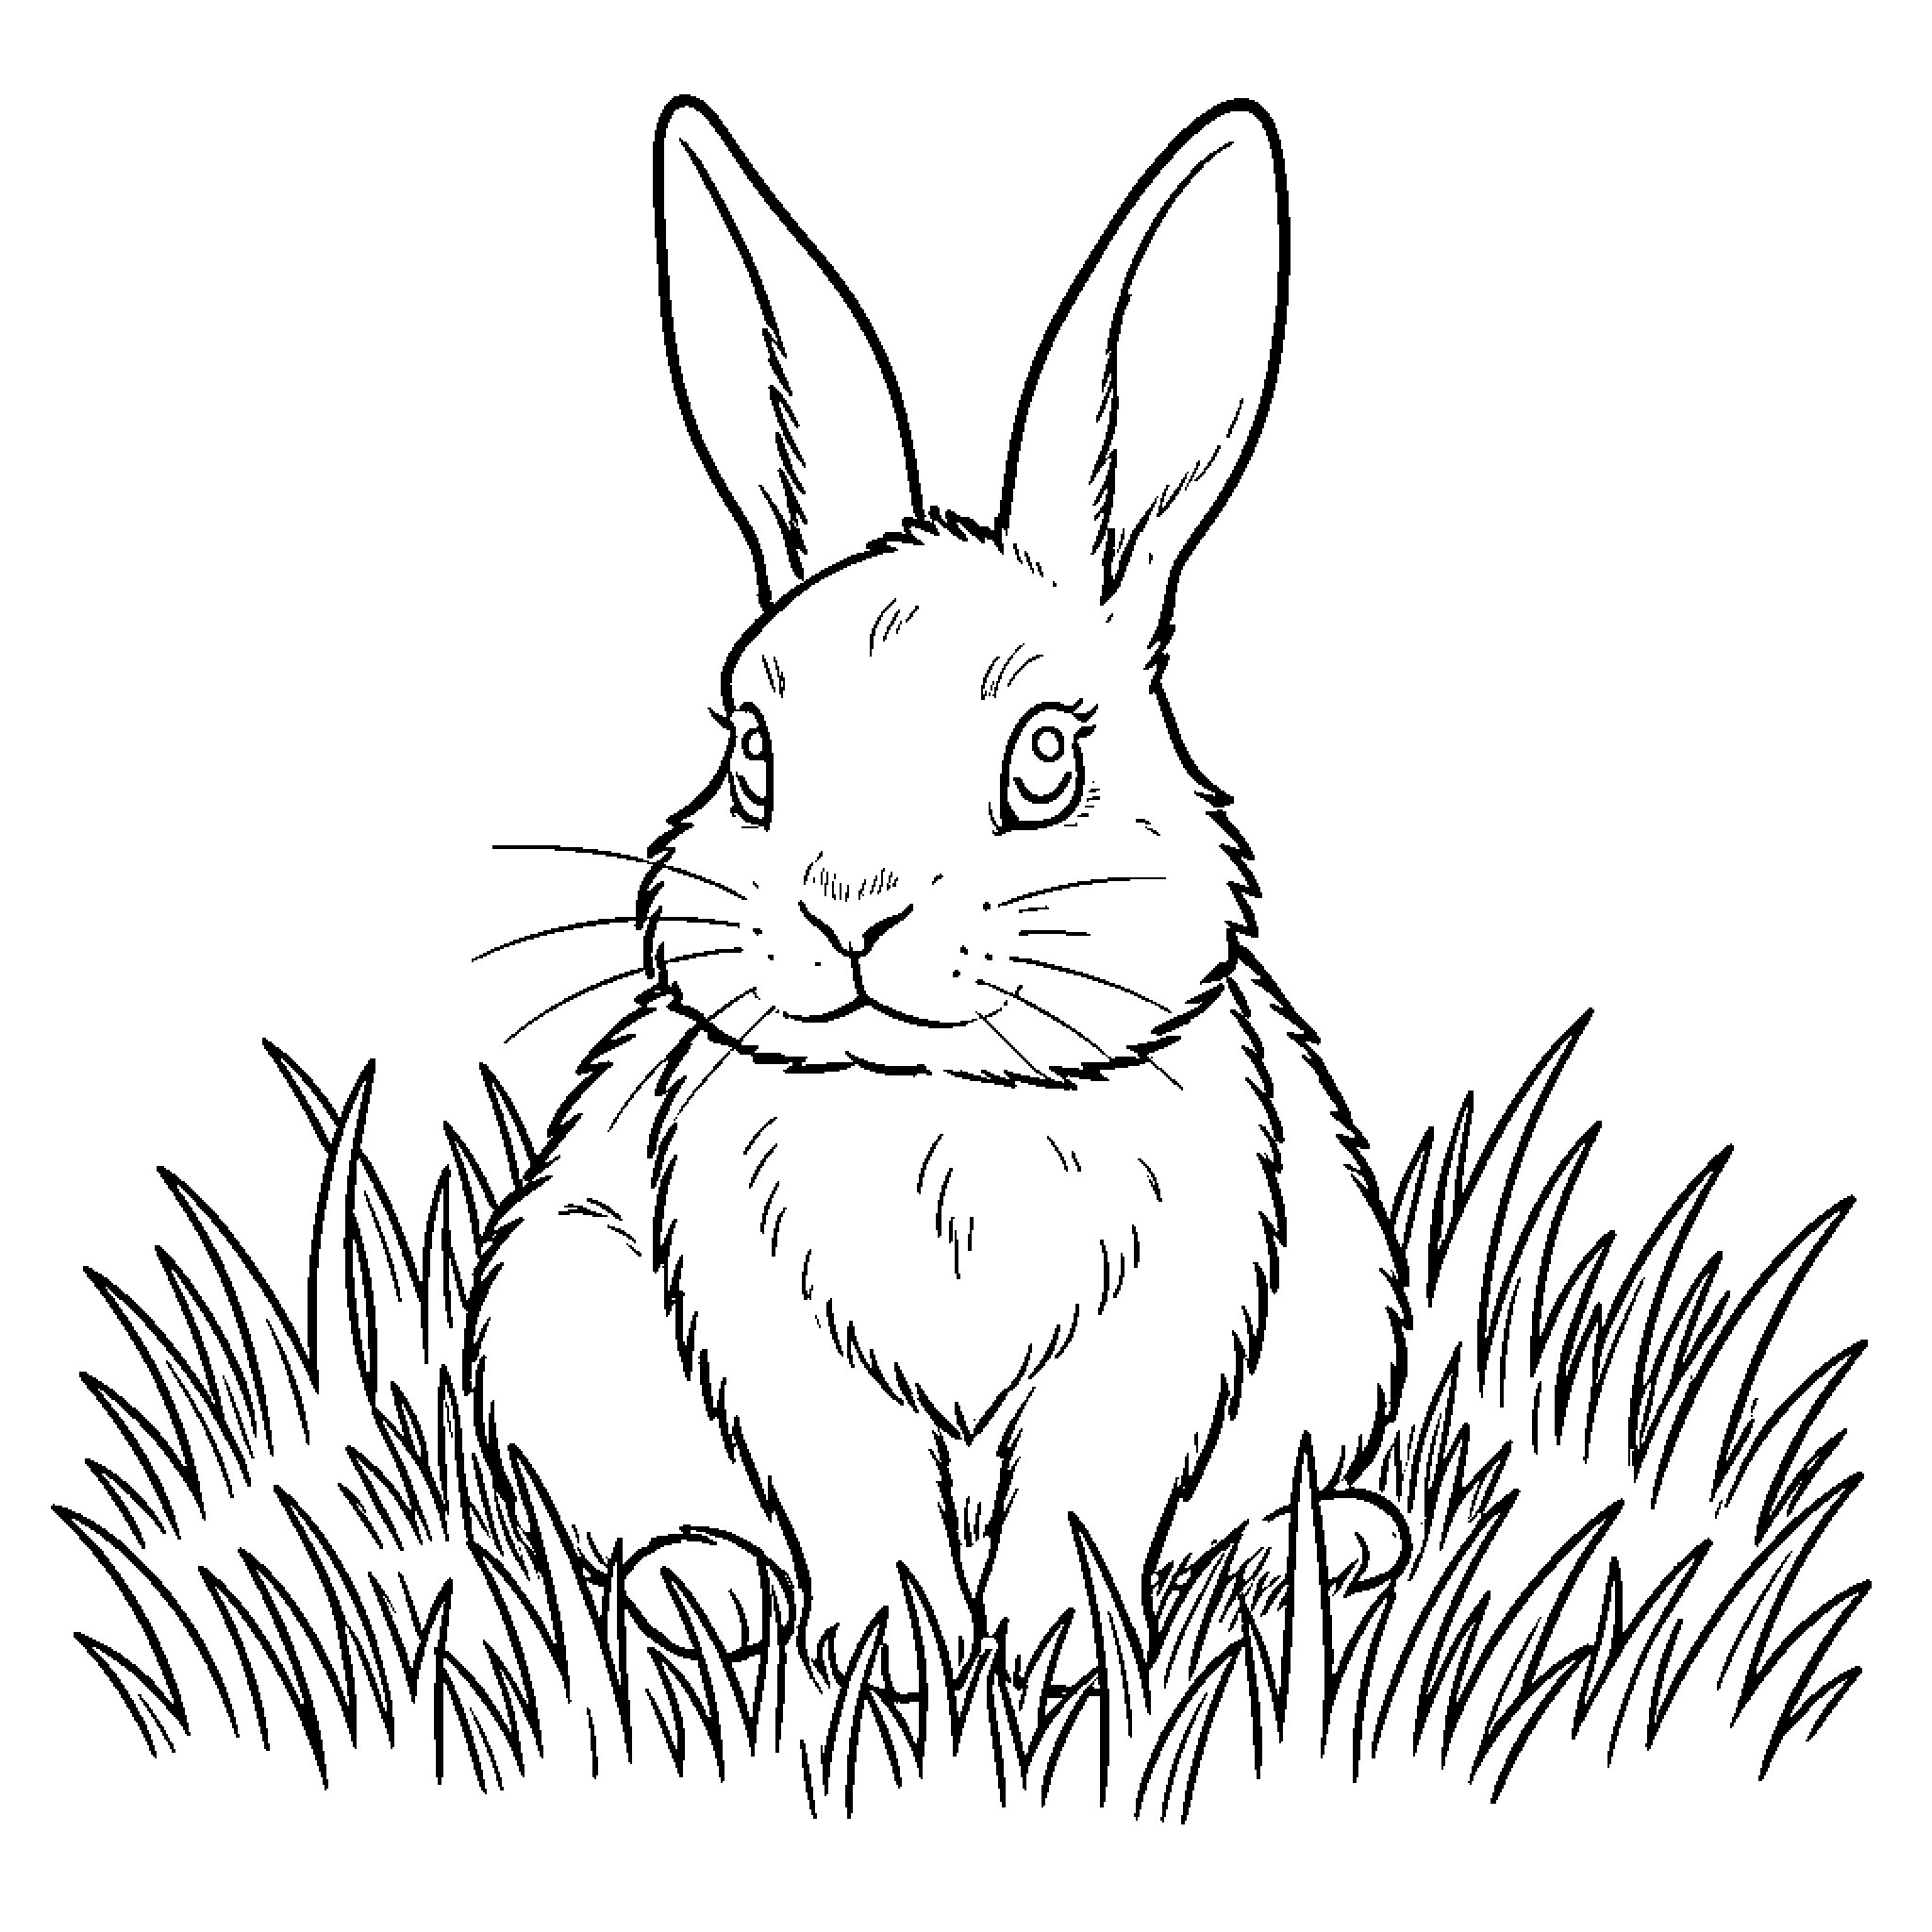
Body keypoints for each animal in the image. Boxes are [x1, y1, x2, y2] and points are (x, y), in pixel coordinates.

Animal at [465, 96, 1411, 1682]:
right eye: (753, 749)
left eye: (1045, 760)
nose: (848, 909)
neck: (938, 1102)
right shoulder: (769, 1327)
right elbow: (852, 1487)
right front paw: (896, 1651)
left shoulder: (1171, 1319)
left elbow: (1091, 1485)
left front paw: (1052, 1649)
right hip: (557, 1330)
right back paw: (708, 1593)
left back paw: (1321, 1550)